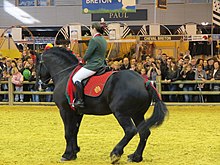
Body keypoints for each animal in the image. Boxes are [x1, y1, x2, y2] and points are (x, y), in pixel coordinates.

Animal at [35, 46, 168, 164]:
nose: (39, 85)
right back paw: (135, 157)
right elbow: (74, 131)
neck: (65, 74)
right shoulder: (77, 112)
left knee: (130, 130)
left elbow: (68, 132)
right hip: (137, 114)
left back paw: (115, 154)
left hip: (121, 113)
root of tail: (144, 82)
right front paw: (74, 153)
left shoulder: (65, 110)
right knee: (144, 132)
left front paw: (66, 155)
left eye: (36, 65)